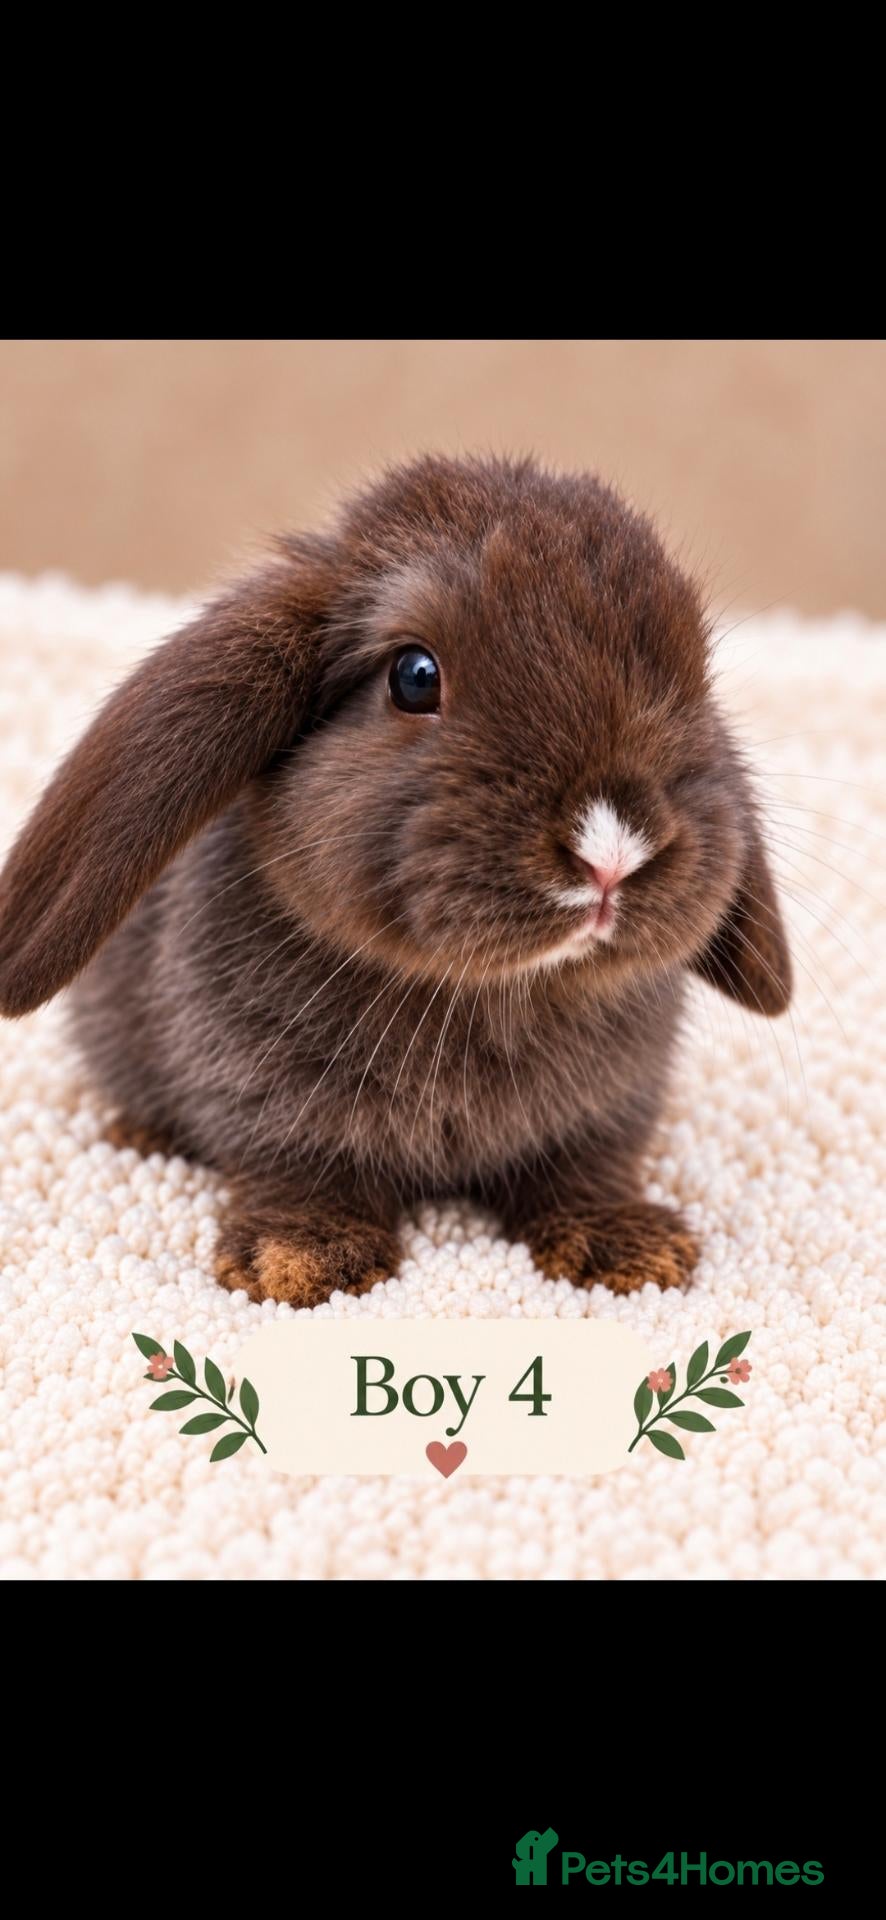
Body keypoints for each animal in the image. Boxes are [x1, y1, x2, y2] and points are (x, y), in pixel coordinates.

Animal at [0, 454, 792, 1306]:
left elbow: (582, 1170)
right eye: (415, 676)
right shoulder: (271, 1105)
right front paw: (299, 1260)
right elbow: (304, 1170)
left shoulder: (604, 1113)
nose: (612, 850)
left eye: (695, 675)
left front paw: (629, 1247)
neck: (483, 995)